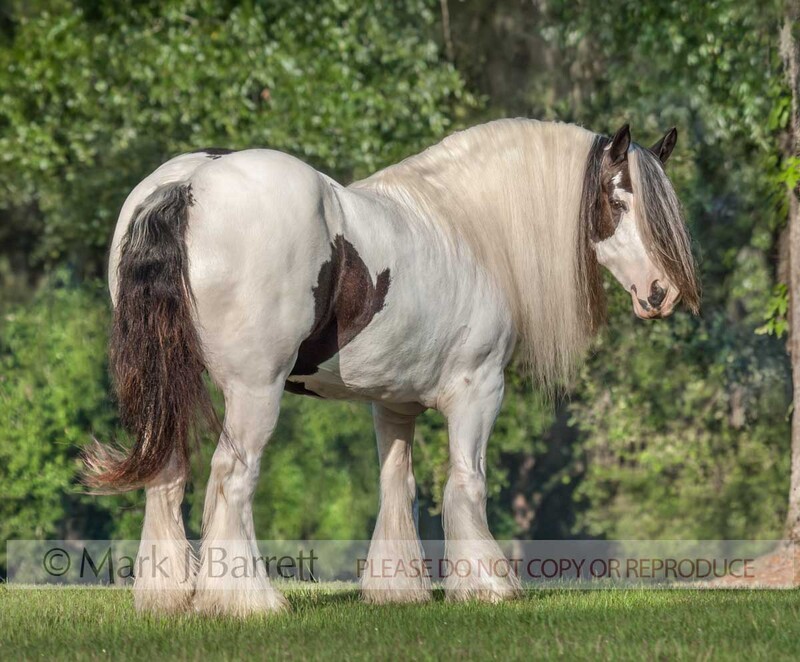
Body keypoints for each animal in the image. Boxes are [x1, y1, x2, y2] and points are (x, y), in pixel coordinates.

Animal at [85, 119, 700, 616]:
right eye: (618, 202)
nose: (660, 293)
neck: (465, 227)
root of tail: (188, 185)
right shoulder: (479, 389)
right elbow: (466, 482)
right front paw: (487, 587)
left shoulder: (392, 403)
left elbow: (396, 483)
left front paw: (396, 588)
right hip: (254, 389)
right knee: (234, 477)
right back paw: (248, 601)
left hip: (174, 384)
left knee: (167, 473)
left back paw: (166, 598)